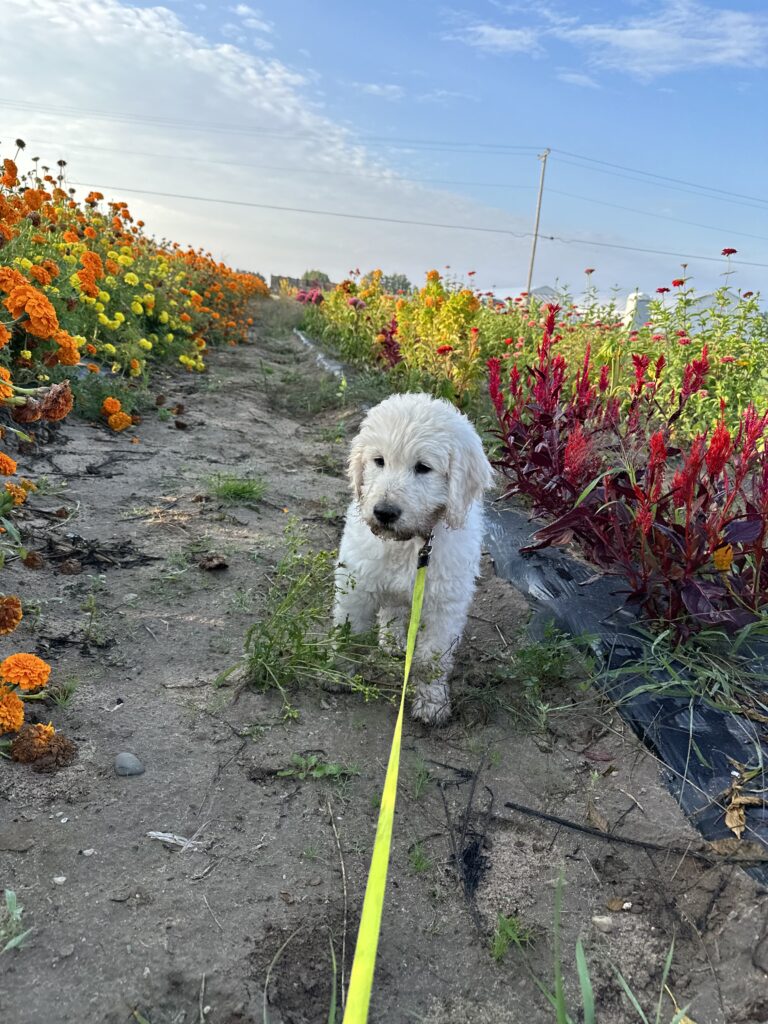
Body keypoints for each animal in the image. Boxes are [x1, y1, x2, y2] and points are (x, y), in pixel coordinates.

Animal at [333, 392, 494, 725]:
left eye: (423, 468)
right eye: (379, 461)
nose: (384, 512)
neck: (410, 543)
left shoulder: (444, 606)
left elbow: (431, 659)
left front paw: (432, 702)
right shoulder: (356, 583)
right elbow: (348, 633)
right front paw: (337, 673)